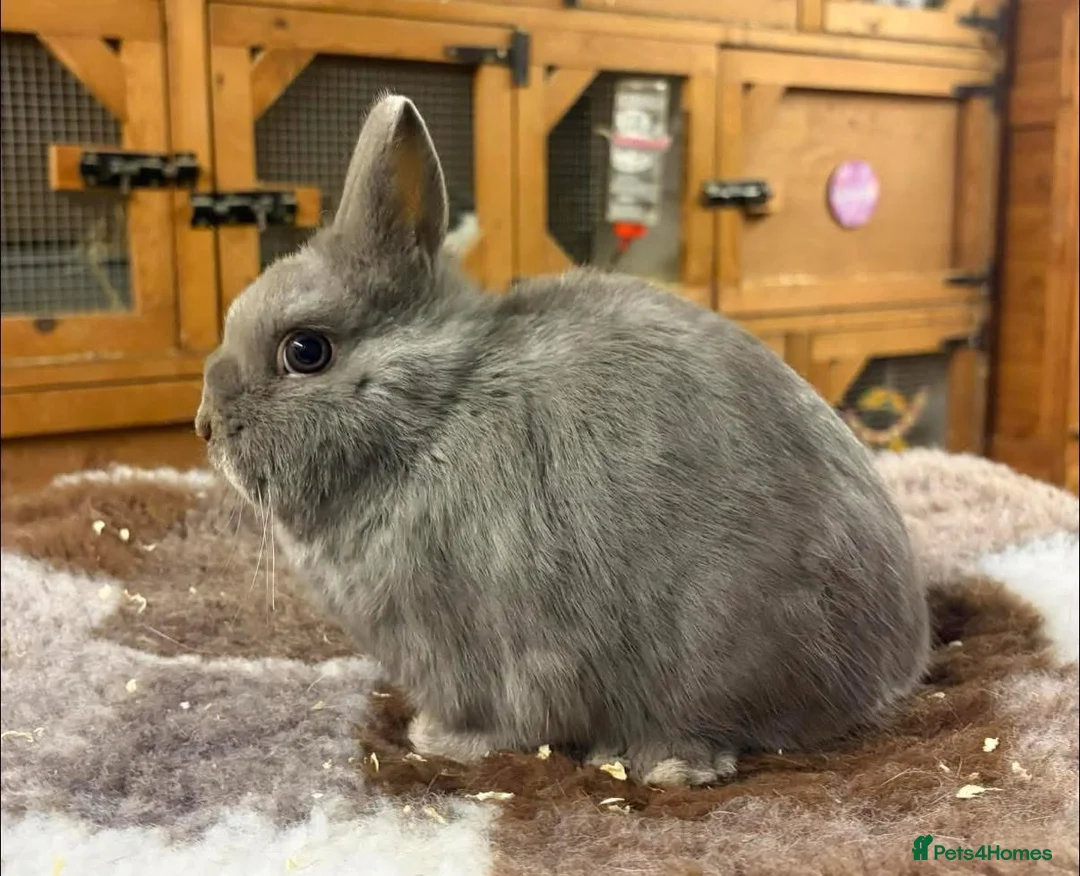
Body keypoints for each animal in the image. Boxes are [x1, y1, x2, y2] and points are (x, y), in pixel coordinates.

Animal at [195, 94, 929, 787]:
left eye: (305, 351)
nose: (205, 425)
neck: (433, 413)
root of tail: (896, 663)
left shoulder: (466, 648)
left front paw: (436, 740)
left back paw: (660, 763)